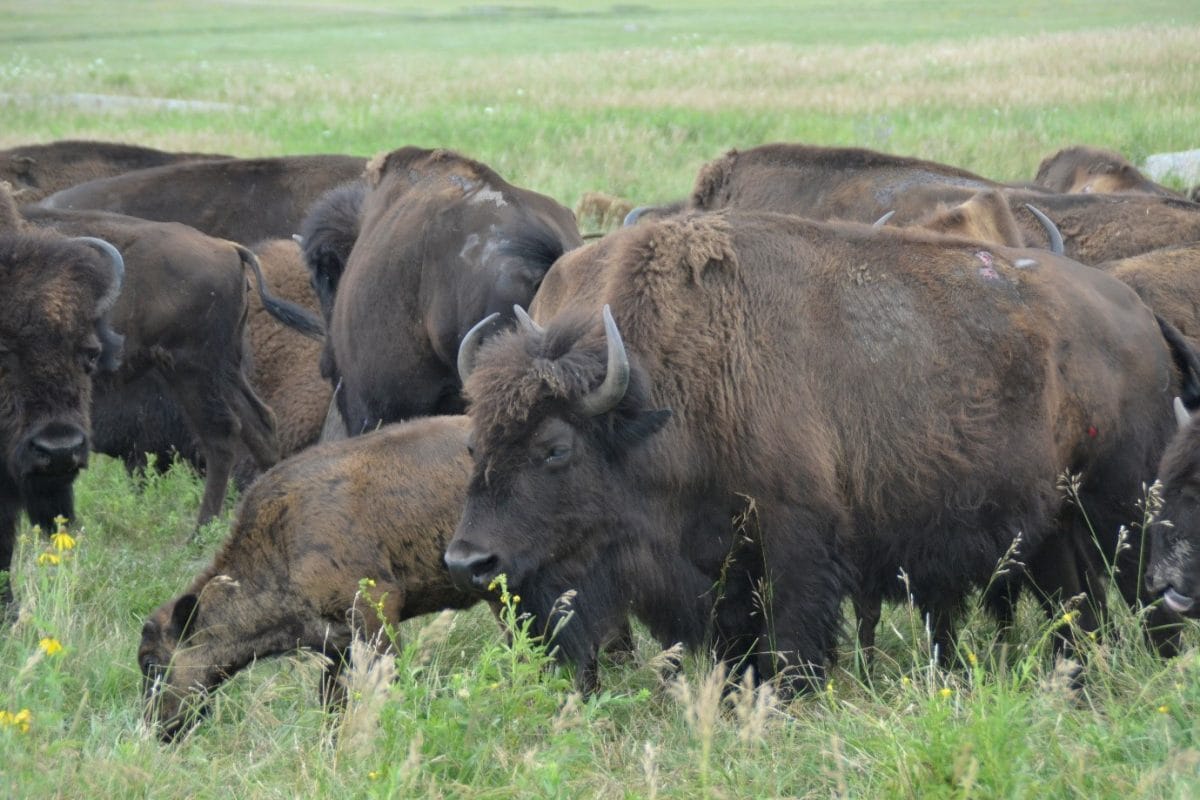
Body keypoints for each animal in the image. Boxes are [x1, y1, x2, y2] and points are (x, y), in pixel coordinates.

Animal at [446, 210, 1188, 692]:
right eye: (475, 442)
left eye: (555, 449)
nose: (468, 560)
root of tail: (1134, 311)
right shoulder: (724, 564)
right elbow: (736, 640)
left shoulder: (798, 536)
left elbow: (794, 637)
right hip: (1056, 521)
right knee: (1076, 601)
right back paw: (1078, 675)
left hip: (1122, 504)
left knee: (1142, 590)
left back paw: (1161, 667)